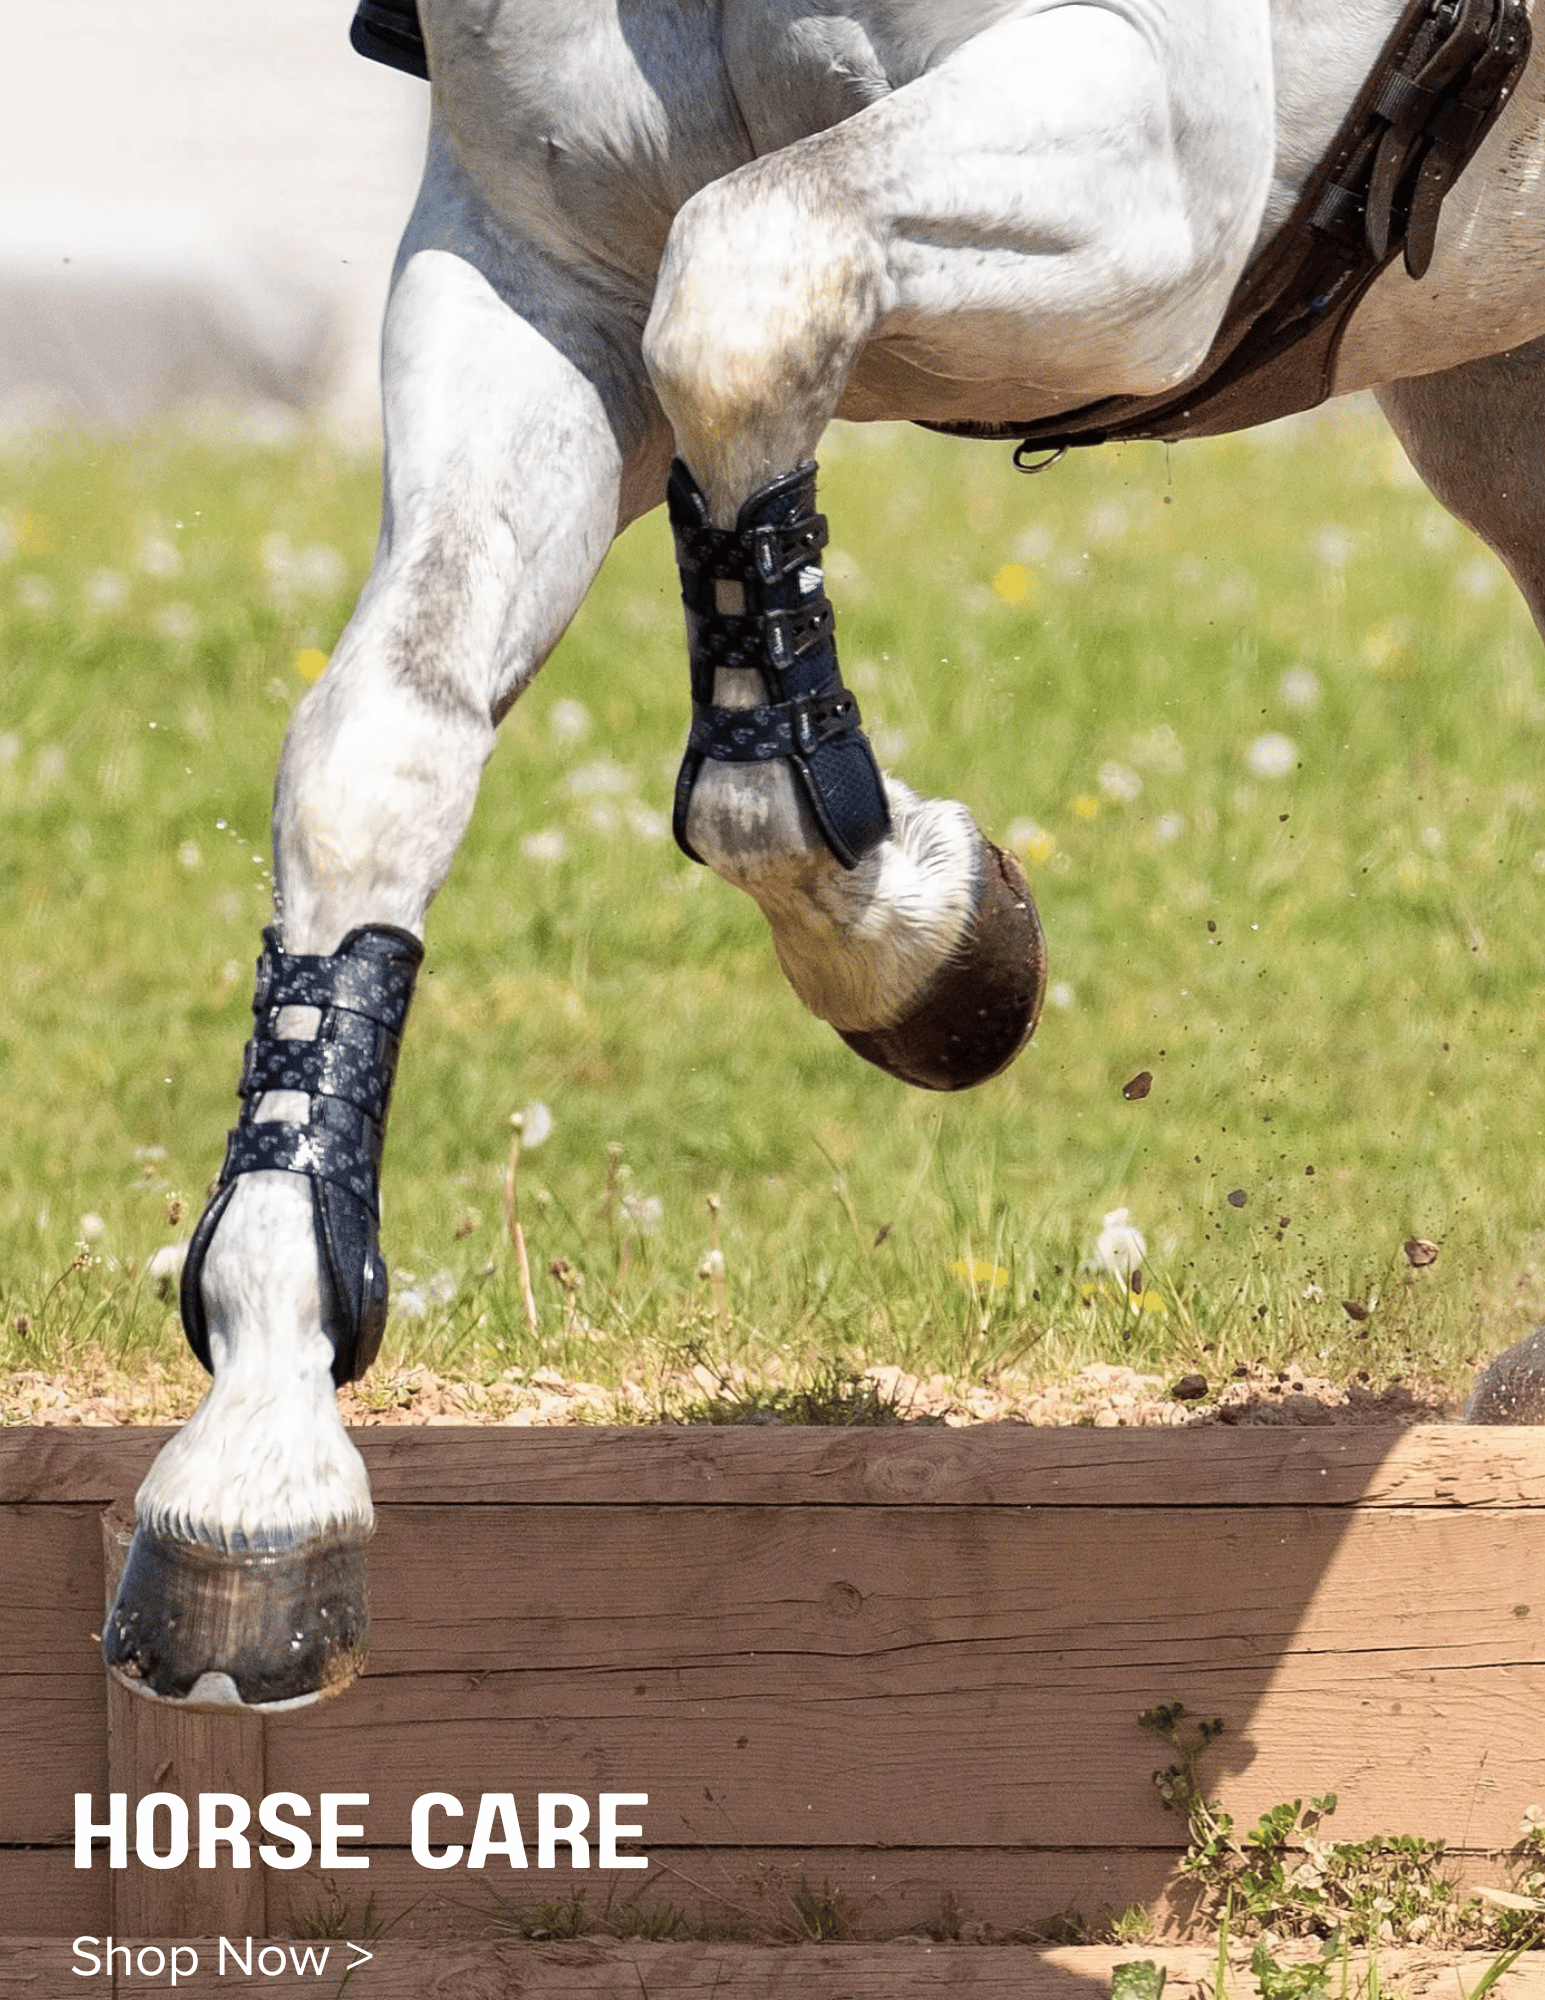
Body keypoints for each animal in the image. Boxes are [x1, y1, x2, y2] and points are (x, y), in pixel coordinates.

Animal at [102, 0, 1545, 1708]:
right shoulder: (535, 261)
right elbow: (378, 752)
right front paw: (260, 1446)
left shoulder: (1163, 176)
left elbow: (741, 286)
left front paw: (916, 931)